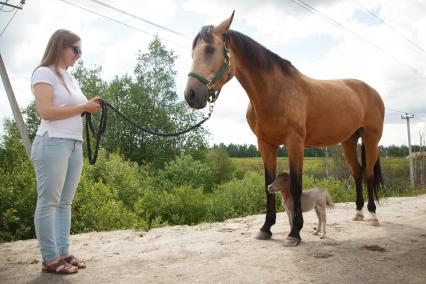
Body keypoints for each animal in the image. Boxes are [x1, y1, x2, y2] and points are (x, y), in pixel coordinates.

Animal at [185, 12, 384, 245]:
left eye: (209, 49)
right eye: (193, 52)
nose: (191, 95)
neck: (275, 91)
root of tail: (371, 91)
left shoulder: (294, 143)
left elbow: (296, 185)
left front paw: (295, 231)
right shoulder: (265, 144)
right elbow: (268, 184)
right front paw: (266, 228)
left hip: (371, 139)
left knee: (368, 173)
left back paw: (372, 214)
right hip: (349, 142)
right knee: (357, 173)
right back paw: (358, 212)